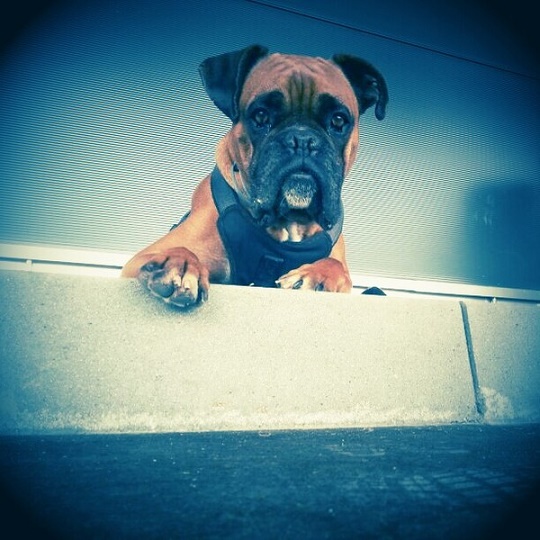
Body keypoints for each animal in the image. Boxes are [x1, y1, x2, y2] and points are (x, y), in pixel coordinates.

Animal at [122, 45, 388, 307]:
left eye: (338, 120)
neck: (289, 222)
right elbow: (180, 249)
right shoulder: (137, 261)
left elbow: (337, 267)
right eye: (260, 116)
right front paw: (180, 263)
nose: (302, 140)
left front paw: (318, 276)